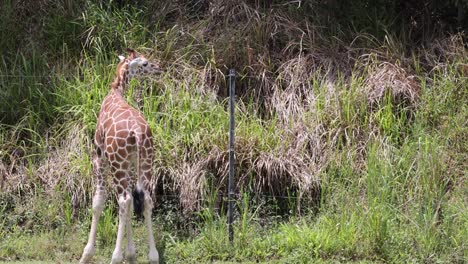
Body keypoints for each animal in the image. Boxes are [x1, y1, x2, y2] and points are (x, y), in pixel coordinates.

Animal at [79, 48, 163, 262]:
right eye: (145, 63)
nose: (158, 68)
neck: (115, 92)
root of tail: (138, 132)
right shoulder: (131, 164)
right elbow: (133, 203)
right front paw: (131, 254)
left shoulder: (98, 156)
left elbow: (98, 201)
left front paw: (87, 254)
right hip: (146, 161)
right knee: (145, 199)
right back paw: (153, 256)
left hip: (116, 164)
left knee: (123, 200)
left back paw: (115, 257)